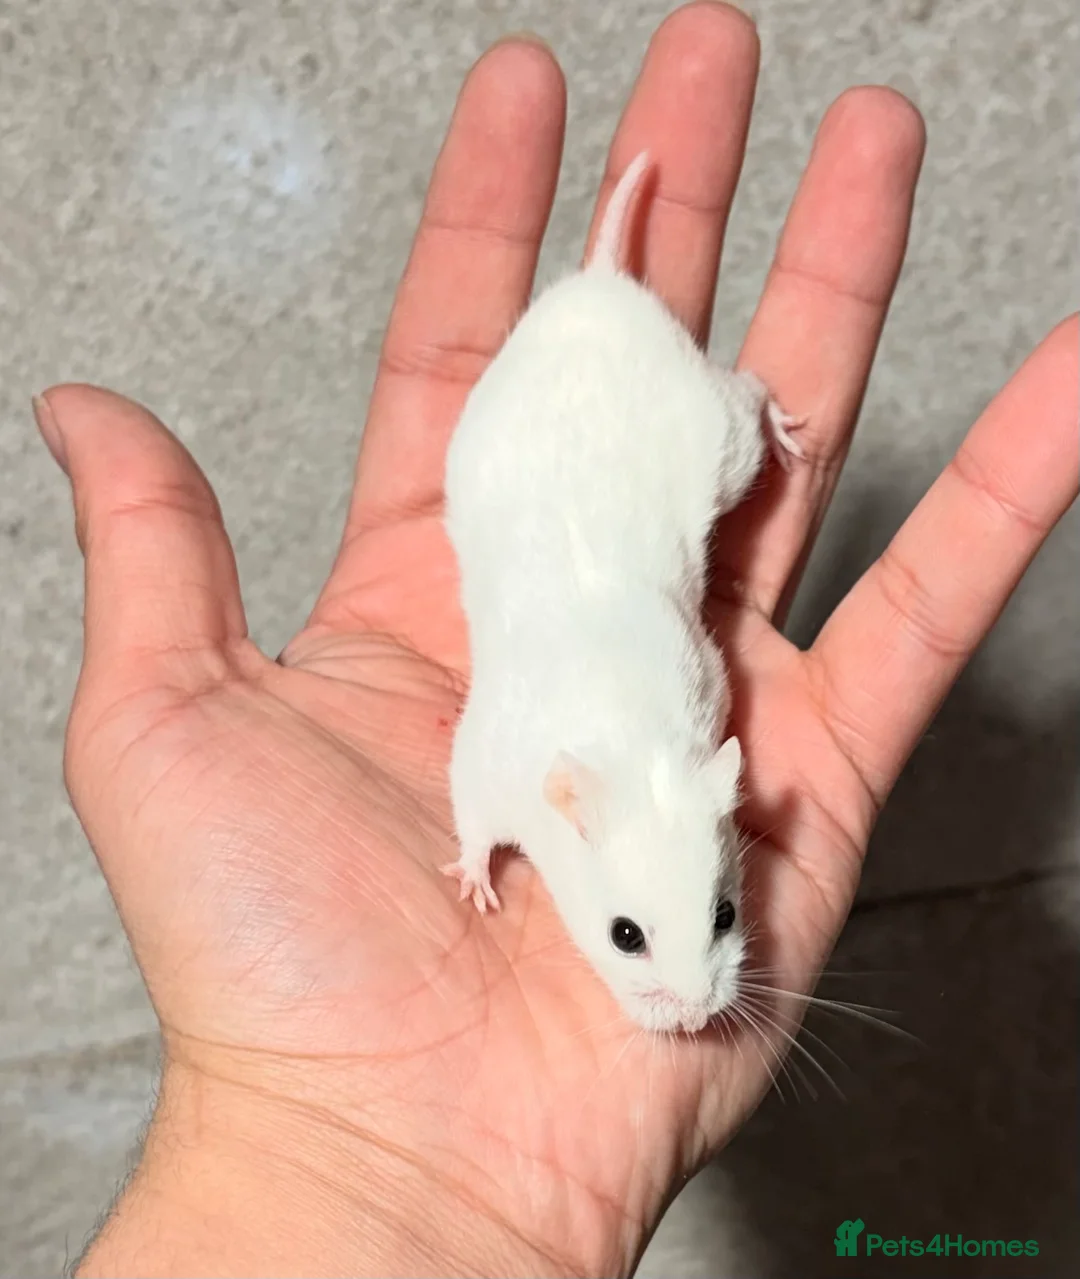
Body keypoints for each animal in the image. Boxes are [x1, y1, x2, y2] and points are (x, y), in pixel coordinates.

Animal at [441, 152, 804, 1034]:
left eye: (726, 915)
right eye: (625, 934)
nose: (696, 1021)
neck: (628, 740)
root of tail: (601, 283)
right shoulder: (486, 762)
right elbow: (470, 815)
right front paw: (475, 884)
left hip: (717, 433)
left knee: (751, 388)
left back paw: (788, 432)